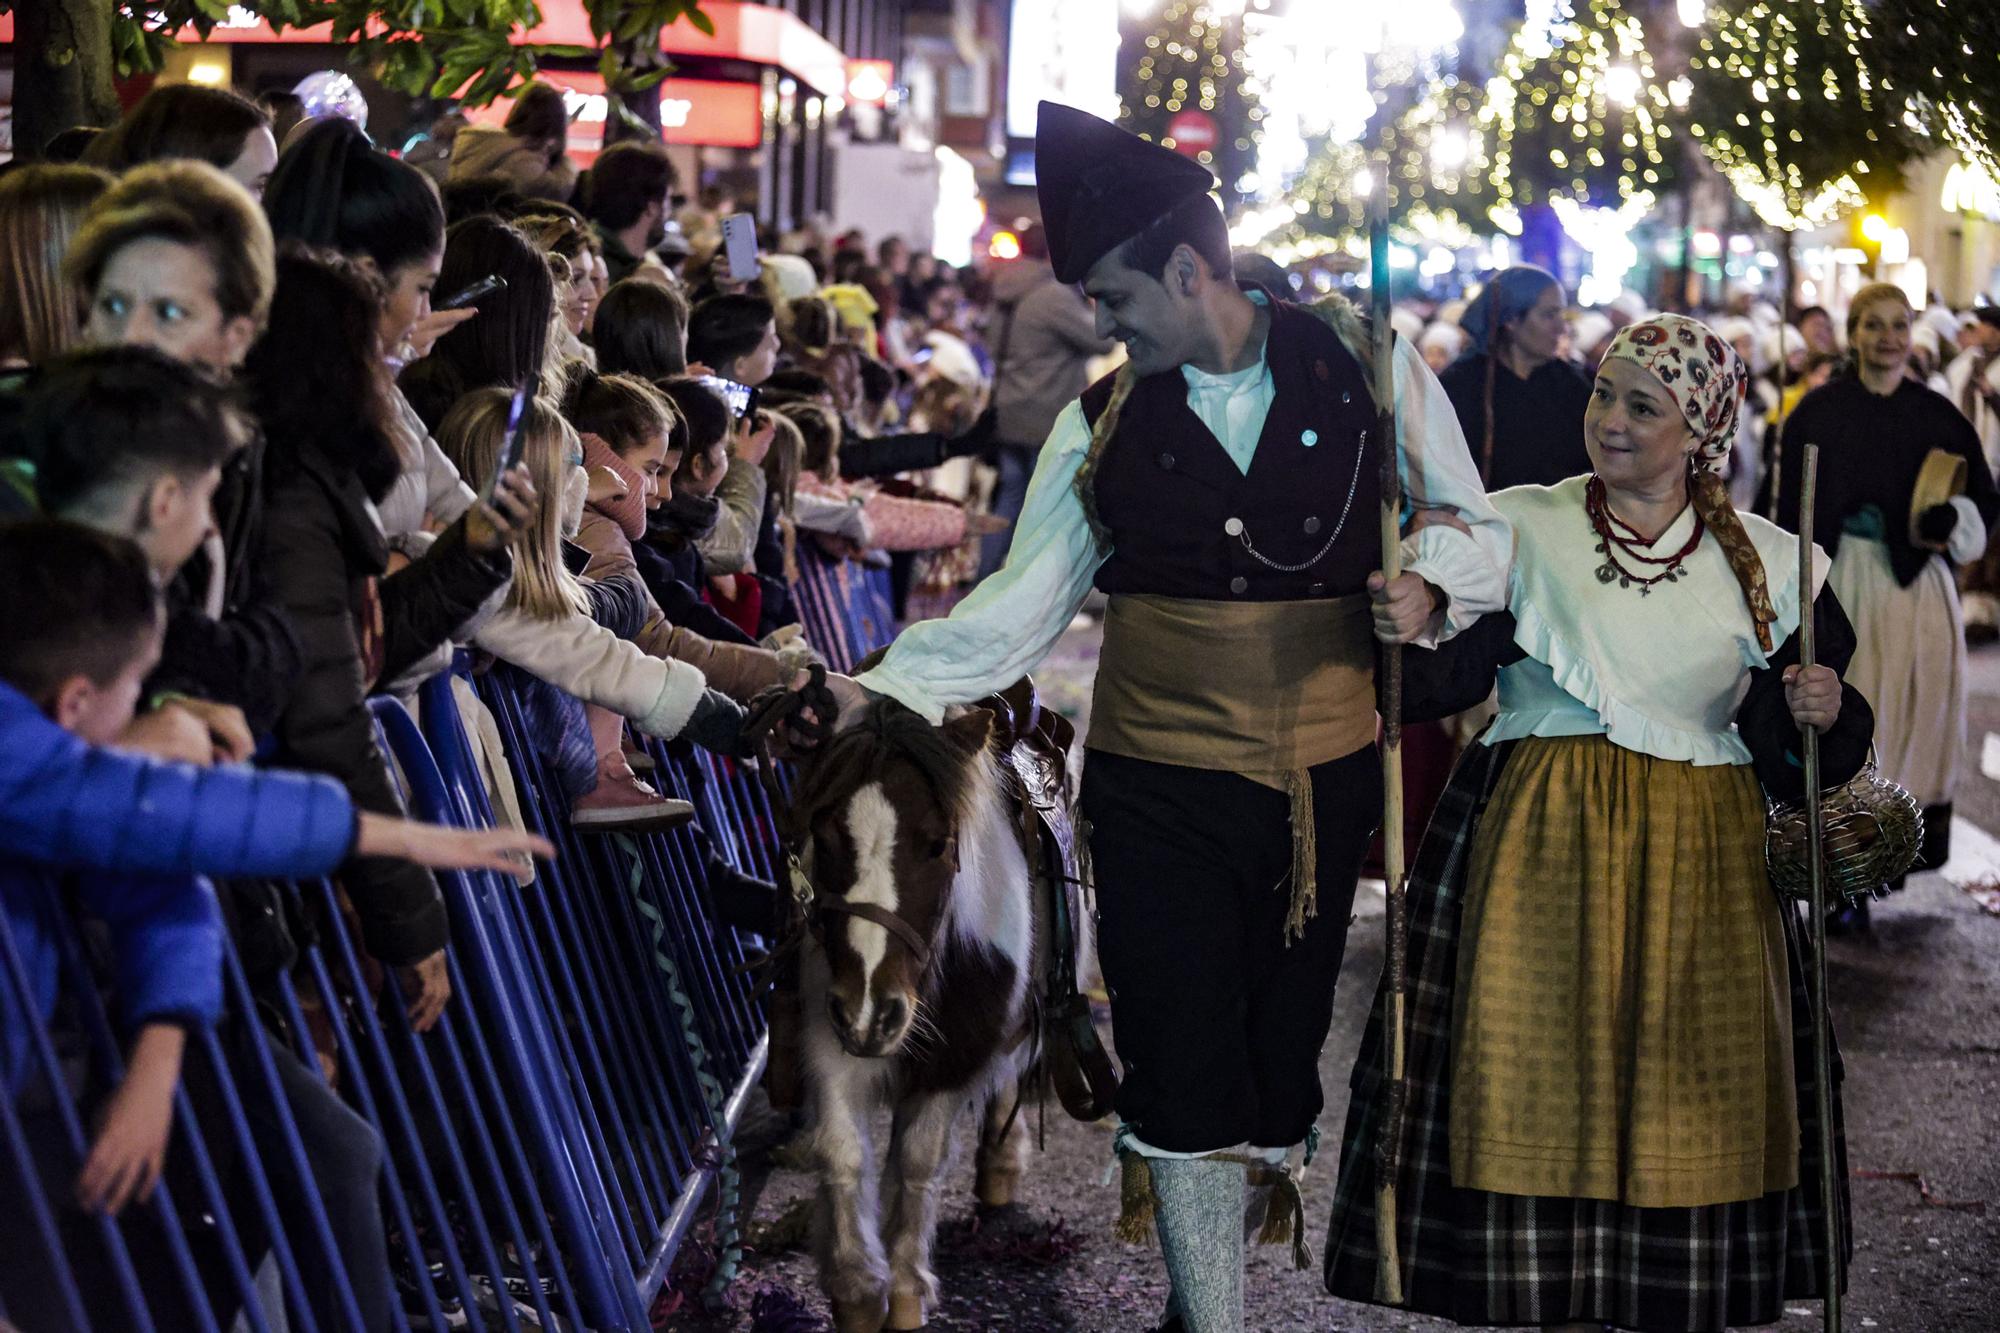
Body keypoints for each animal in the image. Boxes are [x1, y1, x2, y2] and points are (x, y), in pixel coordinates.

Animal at [788, 696, 1048, 1328]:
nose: (869, 1013)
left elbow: (917, 1162)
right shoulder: (831, 1041)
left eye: (937, 844)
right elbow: (843, 1151)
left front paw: (905, 1289)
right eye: (825, 837)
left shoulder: (956, 1059)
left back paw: (1000, 1165)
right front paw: (857, 1289)